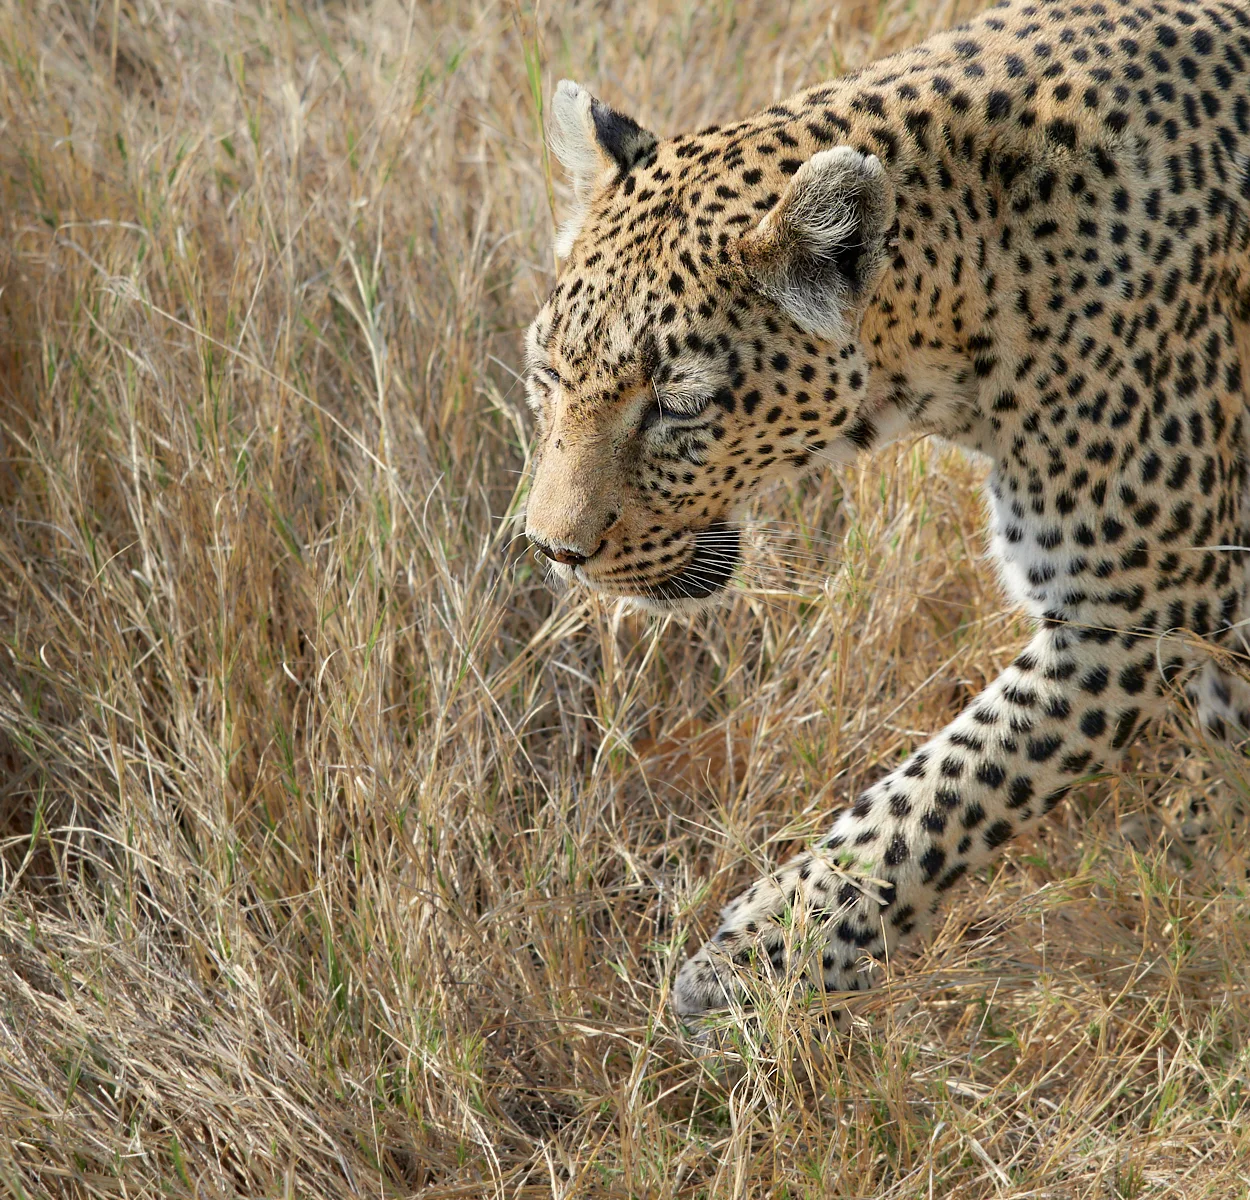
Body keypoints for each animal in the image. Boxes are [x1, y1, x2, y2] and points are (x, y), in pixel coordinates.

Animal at [521, 0, 1250, 1028]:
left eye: (679, 405)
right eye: (547, 375)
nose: (555, 550)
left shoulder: (1137, 600)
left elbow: (944, 789)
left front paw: (759, 962)